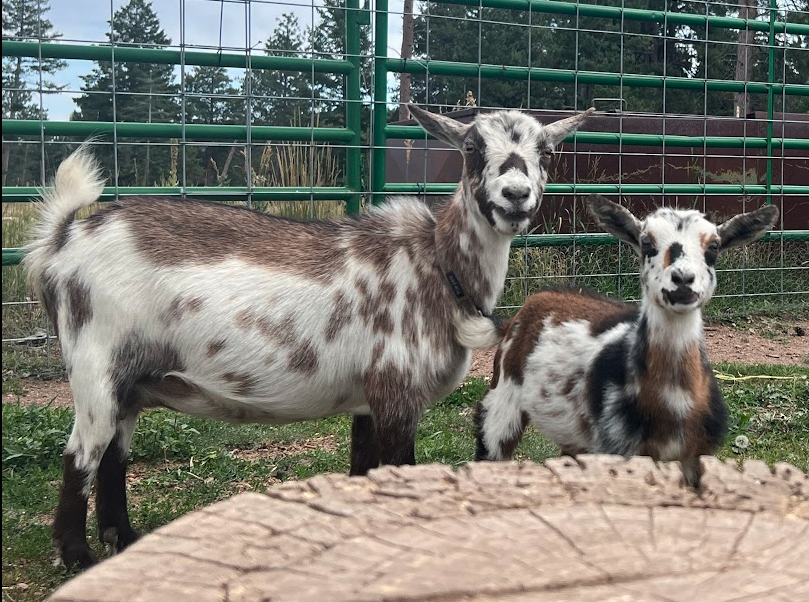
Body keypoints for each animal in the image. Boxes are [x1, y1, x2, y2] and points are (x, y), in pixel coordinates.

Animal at [23, 105, 595, 567]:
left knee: (113, 456)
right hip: (94, 362)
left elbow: (364, 474)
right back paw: (77, 557)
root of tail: (63, 240)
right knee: (81, 455)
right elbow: (399, 471)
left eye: (546, 150)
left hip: (130, 382)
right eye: (473, 147)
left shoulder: (368, 400)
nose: (516, 196)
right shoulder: (396, 392)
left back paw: (124, 539)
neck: (435, 264)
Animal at [474, 194, 779, 487]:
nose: (682, 279)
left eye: (714, 246)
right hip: (502, 400)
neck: (673, 402)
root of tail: (526, 307)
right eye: (646, 243)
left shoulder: (697, 454)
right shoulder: (617, 446)